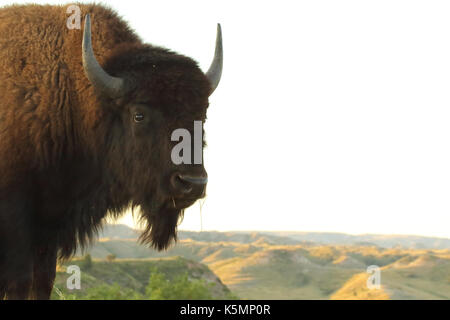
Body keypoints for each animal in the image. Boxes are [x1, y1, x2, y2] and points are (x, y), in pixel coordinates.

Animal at [0, 3, 223, 300]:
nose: (192, 183)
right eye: (139, 114)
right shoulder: (19, 229)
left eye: (203, 116)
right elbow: (20, 283)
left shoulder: (49, 231)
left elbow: (41, 283)